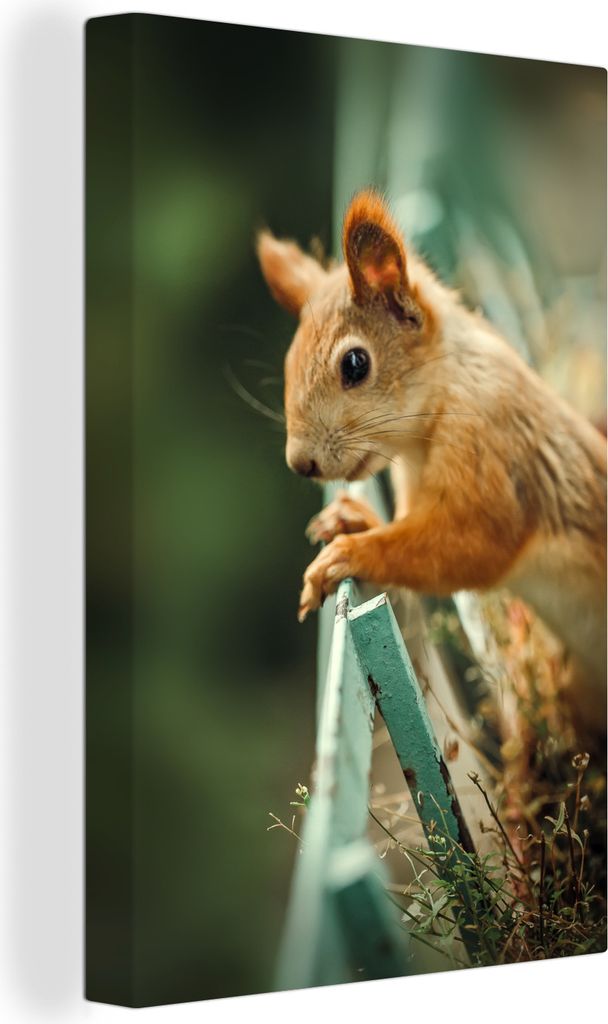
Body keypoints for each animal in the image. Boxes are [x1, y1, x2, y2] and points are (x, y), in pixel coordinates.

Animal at [257, 190, 607, 733]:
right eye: (291, 362)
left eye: (355, 364)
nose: (301, 464)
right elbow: (408, 524)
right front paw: (354, 519)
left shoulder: (492, 450)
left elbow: (470, 544)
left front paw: (349, 553)